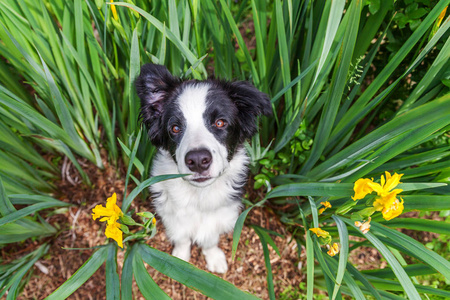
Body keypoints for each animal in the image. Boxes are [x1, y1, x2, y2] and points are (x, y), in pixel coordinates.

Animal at [135, 63, 272, 274]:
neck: (199, 196)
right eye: (175, 128)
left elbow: (209, 240)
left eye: (220, 122)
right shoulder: (172, 212)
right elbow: (182, 236)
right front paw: (180, 258)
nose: (198, 160)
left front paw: (214, 258)